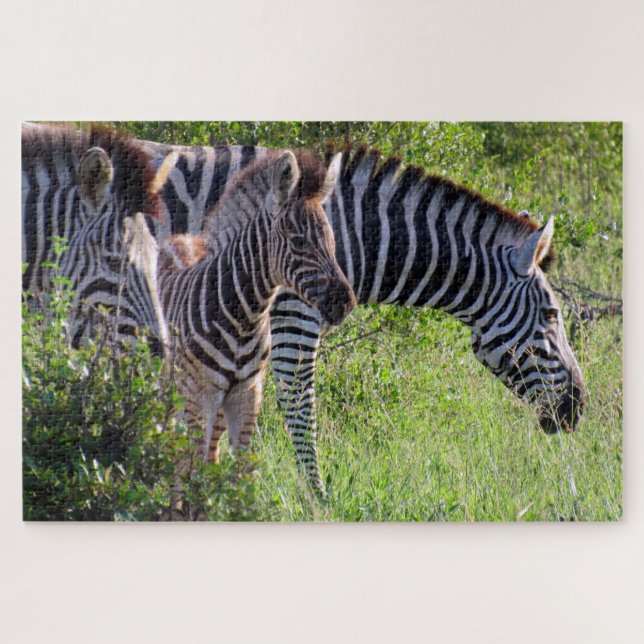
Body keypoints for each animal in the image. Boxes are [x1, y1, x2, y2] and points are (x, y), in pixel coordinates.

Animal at [125, 150, 355, 462]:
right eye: (298, 241)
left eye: (332, 237)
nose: (346, 303)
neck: (243, 319)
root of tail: (176, 238)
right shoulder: (198, 395)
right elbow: (192, 465)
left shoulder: (247, 395)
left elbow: (238, 467)